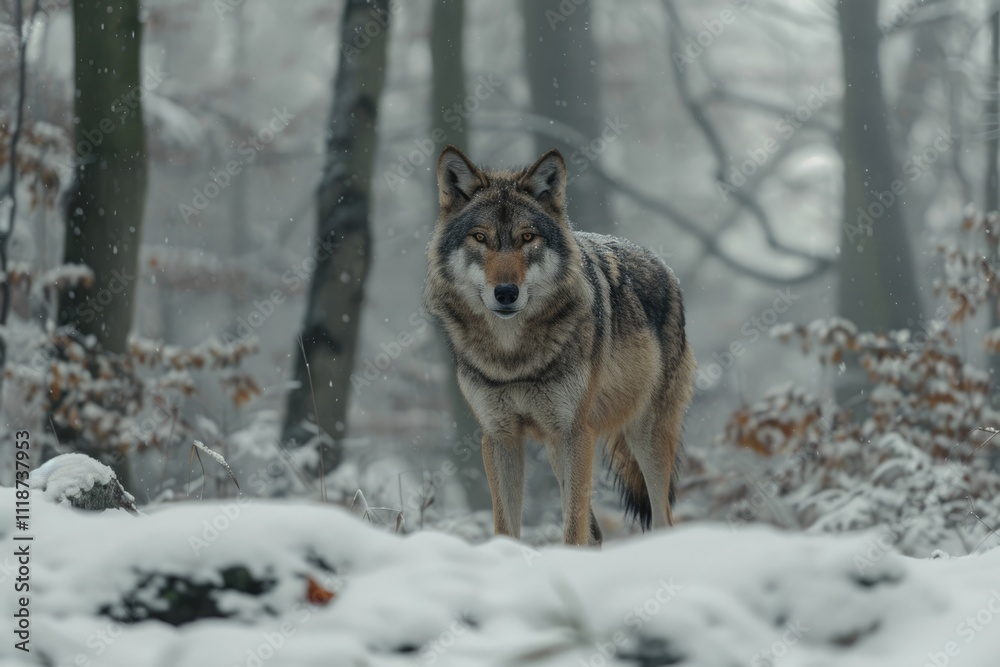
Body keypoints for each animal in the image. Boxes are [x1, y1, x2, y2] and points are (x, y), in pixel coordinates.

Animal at [423, 146, 696, 546]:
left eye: (527, 237)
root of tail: (663, 265)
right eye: (479, 237)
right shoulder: (499, 437)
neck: (514, 357)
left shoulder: (576, 432)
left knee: (662, 519)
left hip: (645, 436)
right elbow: (506, 526)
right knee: (596, 532)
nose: (506, 293)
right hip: (557, 446)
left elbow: (572, 528)